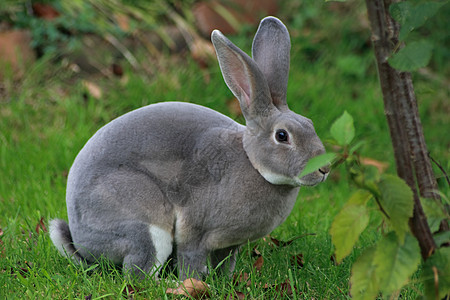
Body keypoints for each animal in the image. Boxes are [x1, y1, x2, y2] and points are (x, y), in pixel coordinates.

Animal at [50, 15, 330, 278]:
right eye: (282, 136)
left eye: (310, 123)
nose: (324, 169)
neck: (252, 163)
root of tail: (82, 245)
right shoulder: (196, 230)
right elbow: (190, 259)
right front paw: (194, 283)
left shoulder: (228, 245)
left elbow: (225, 263)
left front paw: (224, 281)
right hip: (142, 224)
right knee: (138, 272)